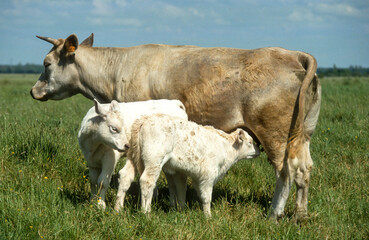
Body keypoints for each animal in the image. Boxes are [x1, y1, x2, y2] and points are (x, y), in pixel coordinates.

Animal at [123, 114, 258, 218]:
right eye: (250, 142)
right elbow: (206, 197)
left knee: (125, 176)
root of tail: (145, 119)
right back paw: (146, 212)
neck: (225, 147)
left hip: (134, 158)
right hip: (154, 161)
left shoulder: (197, 177)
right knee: (147, 182)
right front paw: (208, 216)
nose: (259, 150)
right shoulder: (208, 176)